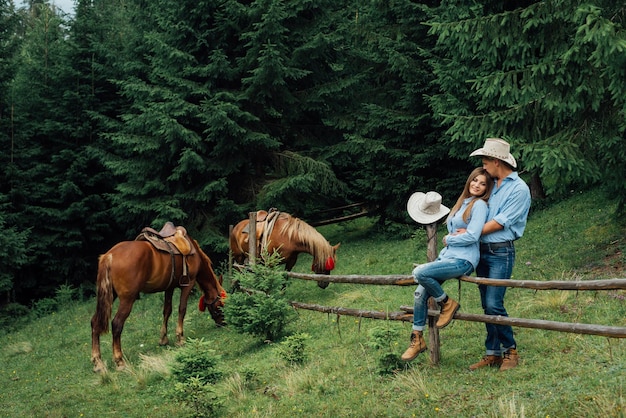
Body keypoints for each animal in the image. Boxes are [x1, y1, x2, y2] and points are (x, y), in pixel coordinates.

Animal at [88, 235, 224, 372]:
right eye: (219, 305)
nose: (222, 323)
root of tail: (109, 255)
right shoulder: (188, 284)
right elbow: (182, 309)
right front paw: (180, 338)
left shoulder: (169, 288)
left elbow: (167, 310)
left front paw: (163, 339)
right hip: (127, 300)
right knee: (117, 324)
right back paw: (119, 361)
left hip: (110, 296)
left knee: (95, 322)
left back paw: (97, 362)